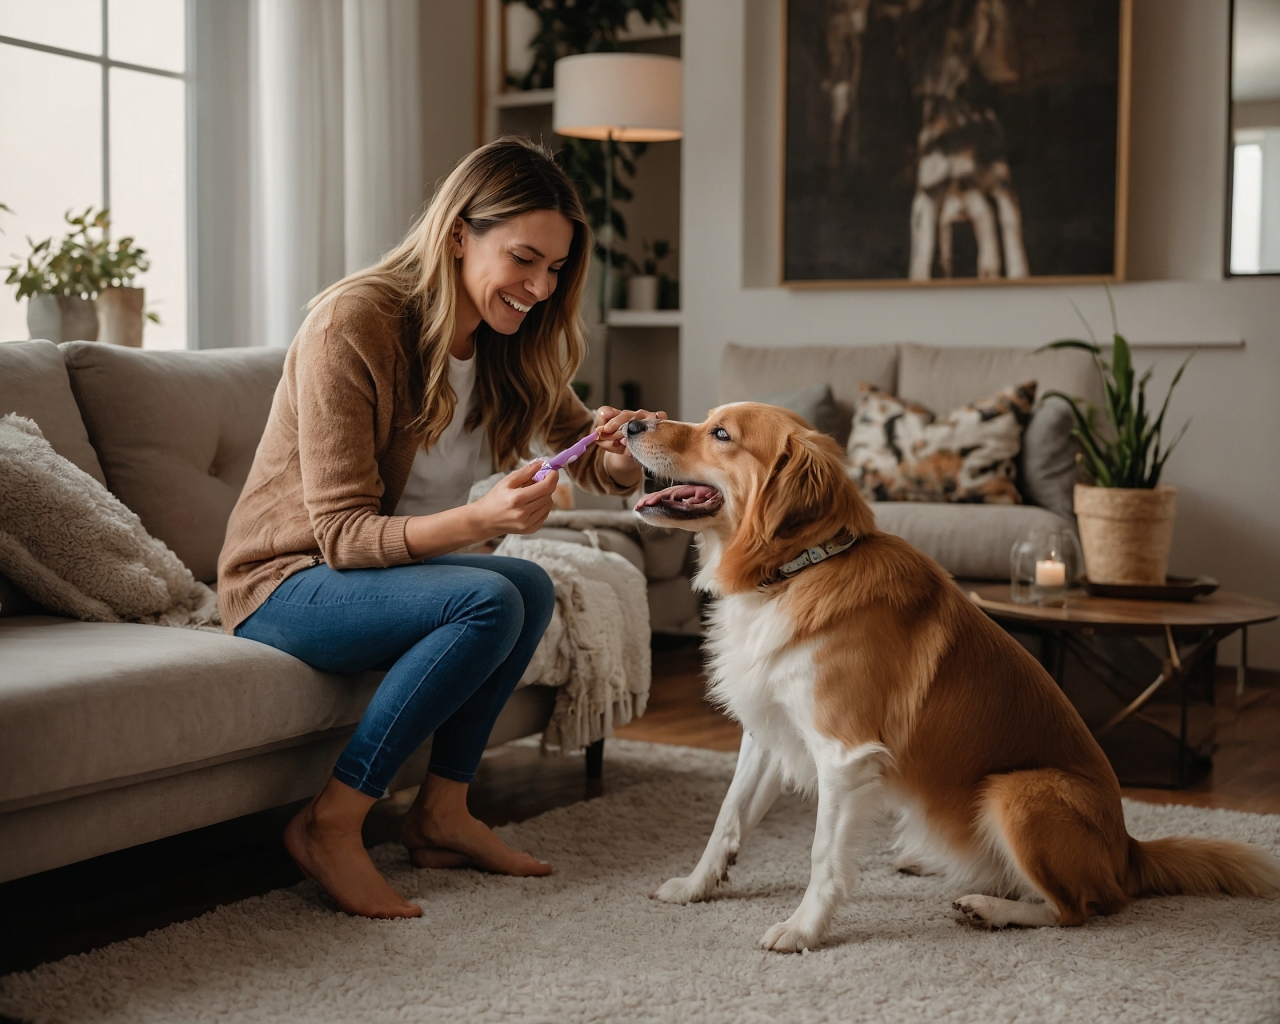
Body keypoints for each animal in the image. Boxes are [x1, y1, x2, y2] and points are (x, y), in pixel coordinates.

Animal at [629, 401, 1280, 952]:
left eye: (721, 434)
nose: (634, 422)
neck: (793, 573)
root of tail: (1128, 850)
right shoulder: (770, 731)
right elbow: (727, 818)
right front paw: (695, 887)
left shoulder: (843, 754)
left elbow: (822, 857)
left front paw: (804, 930)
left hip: (1016, 792)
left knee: (1080, 908)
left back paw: (990, 908)